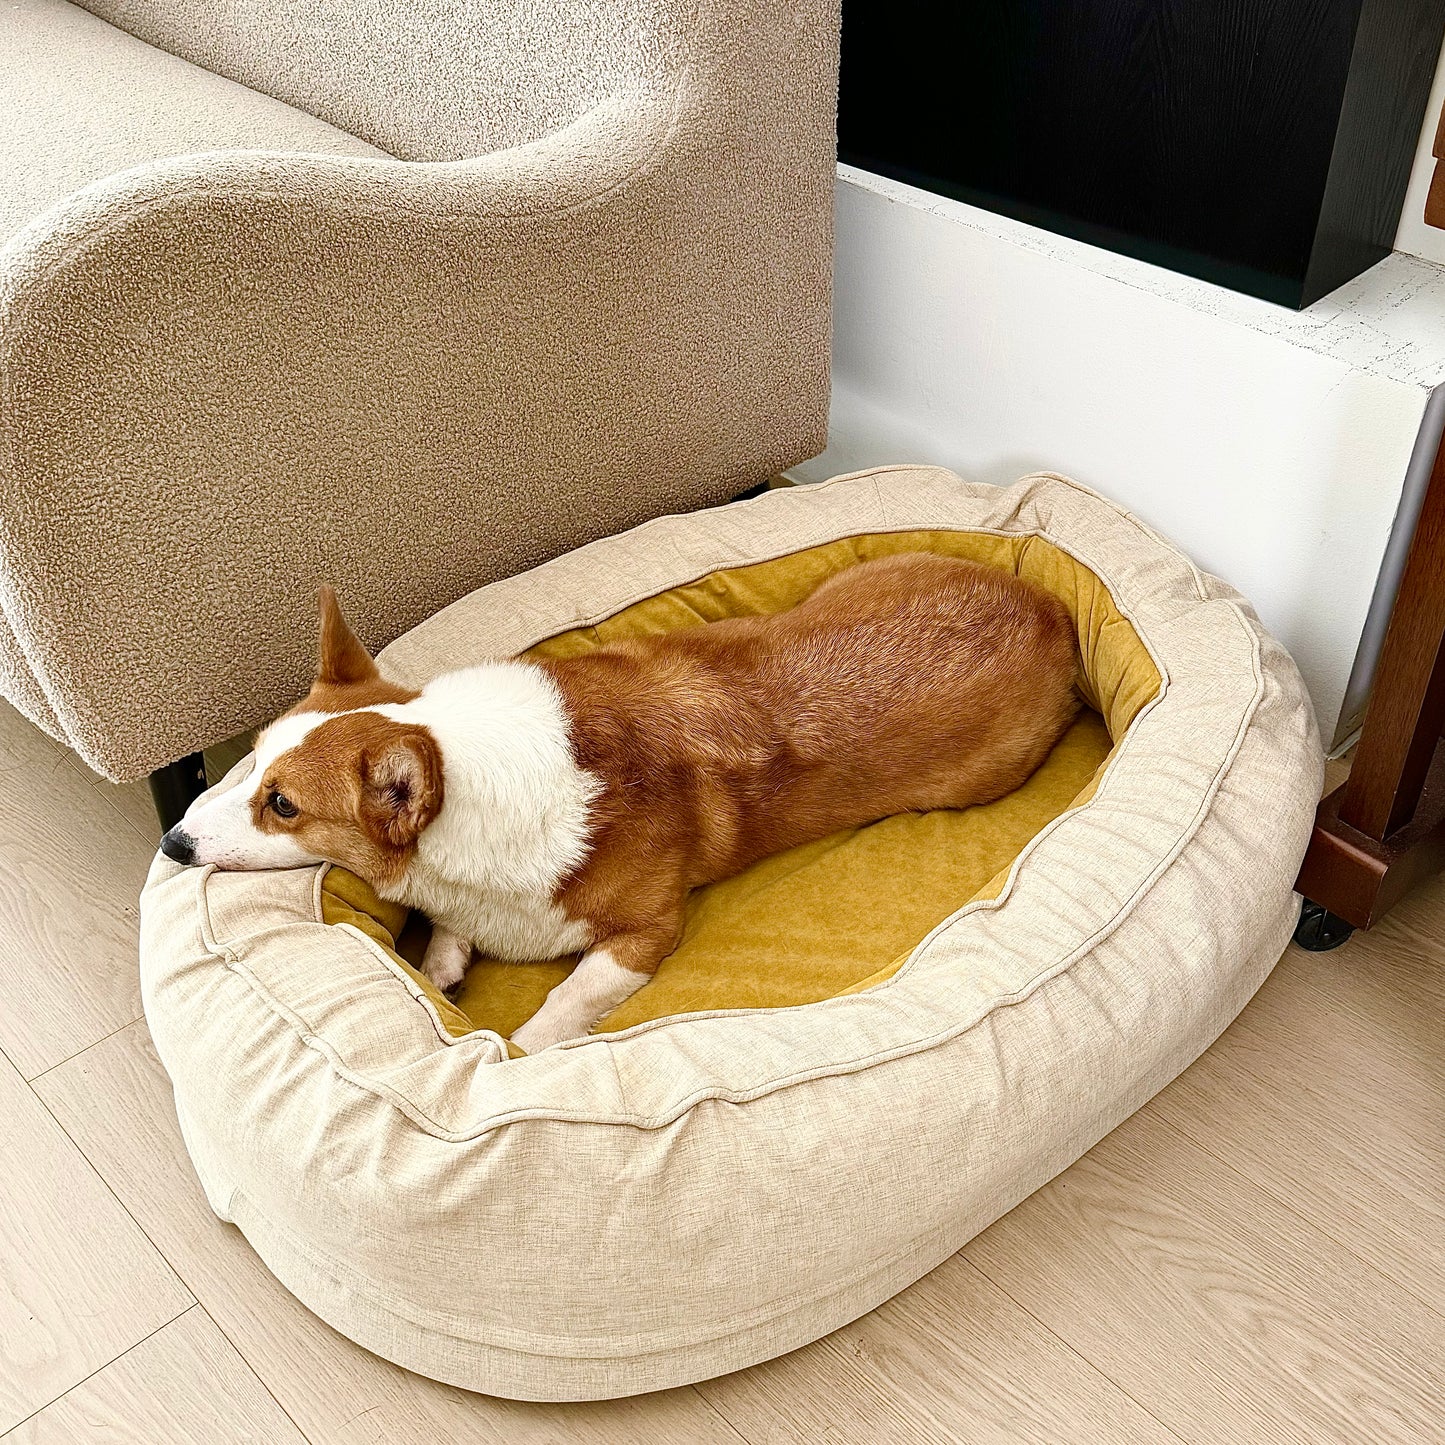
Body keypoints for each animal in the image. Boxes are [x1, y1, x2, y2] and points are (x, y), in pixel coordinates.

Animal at [164, 554, 1080, 1051]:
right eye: (249, 762)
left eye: (283, 804)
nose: (172, 843)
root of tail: (1052, 610)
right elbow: (451, 934)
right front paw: (444, 962)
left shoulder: (645, 934)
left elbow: (565, 999)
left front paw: (520, 1047)